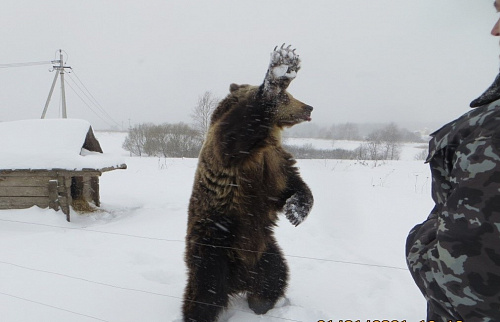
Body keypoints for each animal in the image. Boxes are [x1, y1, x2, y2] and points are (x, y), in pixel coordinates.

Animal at [182, 43, 314, 322]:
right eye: (286, 96)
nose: (308, 107)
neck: (264, 138)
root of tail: (239, 280)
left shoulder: (274, 161)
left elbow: (292, 184)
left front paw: (296, 211)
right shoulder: (231, 150)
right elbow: (236, 130)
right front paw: (281, 67)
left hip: (264, 248)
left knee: (275, 274)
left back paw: (261, 303)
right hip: (213, 247)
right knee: (204, 293)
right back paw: (196, 314)